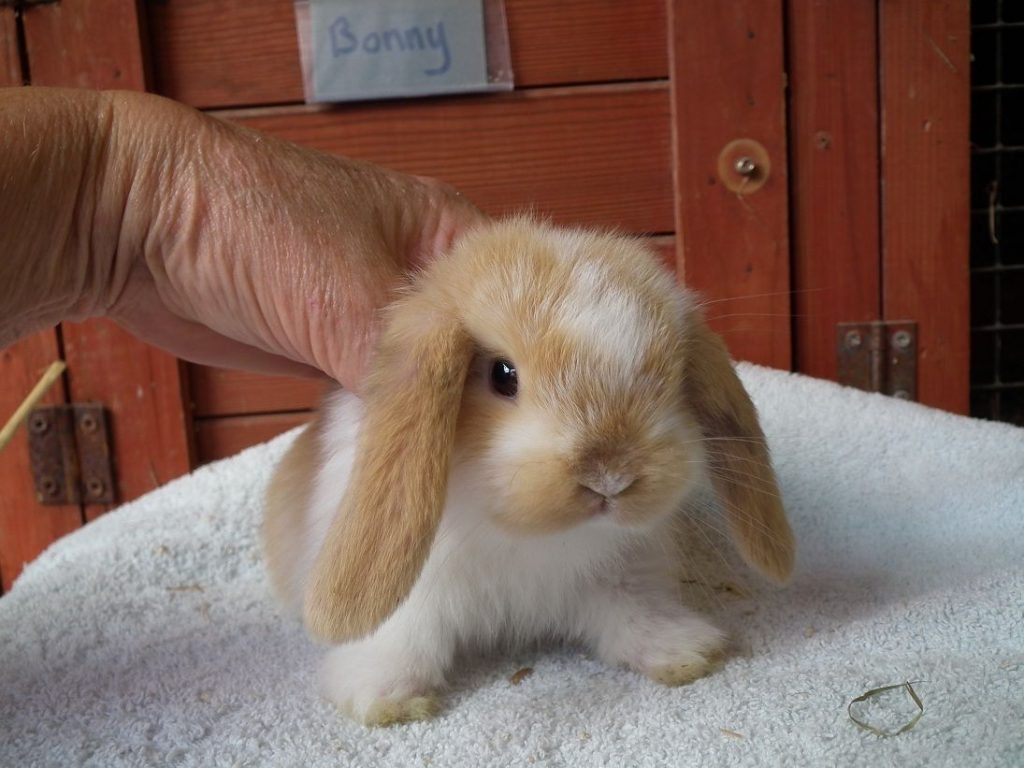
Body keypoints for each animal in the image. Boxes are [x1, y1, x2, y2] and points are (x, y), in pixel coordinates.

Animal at [262, 217, 790, 729]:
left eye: (675, 379)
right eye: (503, 375)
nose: (609, 477)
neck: (526, 538)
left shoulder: (621, 576)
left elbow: (634, 615)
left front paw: (685, 651)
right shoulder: (418, 596)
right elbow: (402, 639)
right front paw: (384, 698)